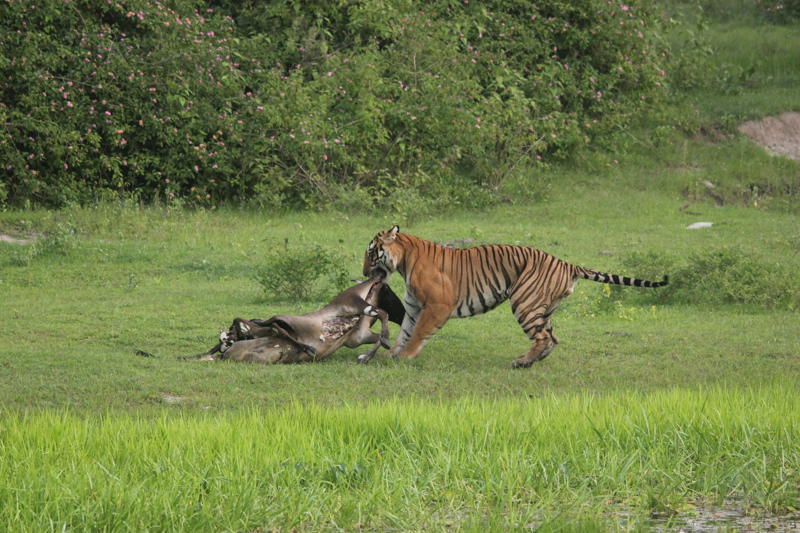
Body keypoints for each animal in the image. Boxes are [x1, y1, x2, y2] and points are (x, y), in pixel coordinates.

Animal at [360, 225, 668, 368]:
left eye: (371, 252)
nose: (363, 272)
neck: (403, 261)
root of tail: (567, 263)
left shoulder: (438, 304)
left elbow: (419, 332)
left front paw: (406, 356)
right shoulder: (414, 306)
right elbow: (405, 332)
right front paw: (393, 354)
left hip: (524, 303)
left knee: (543, 337)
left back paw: (522, 362)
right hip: (543, 308)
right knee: (552, 337)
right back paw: (532, 360)